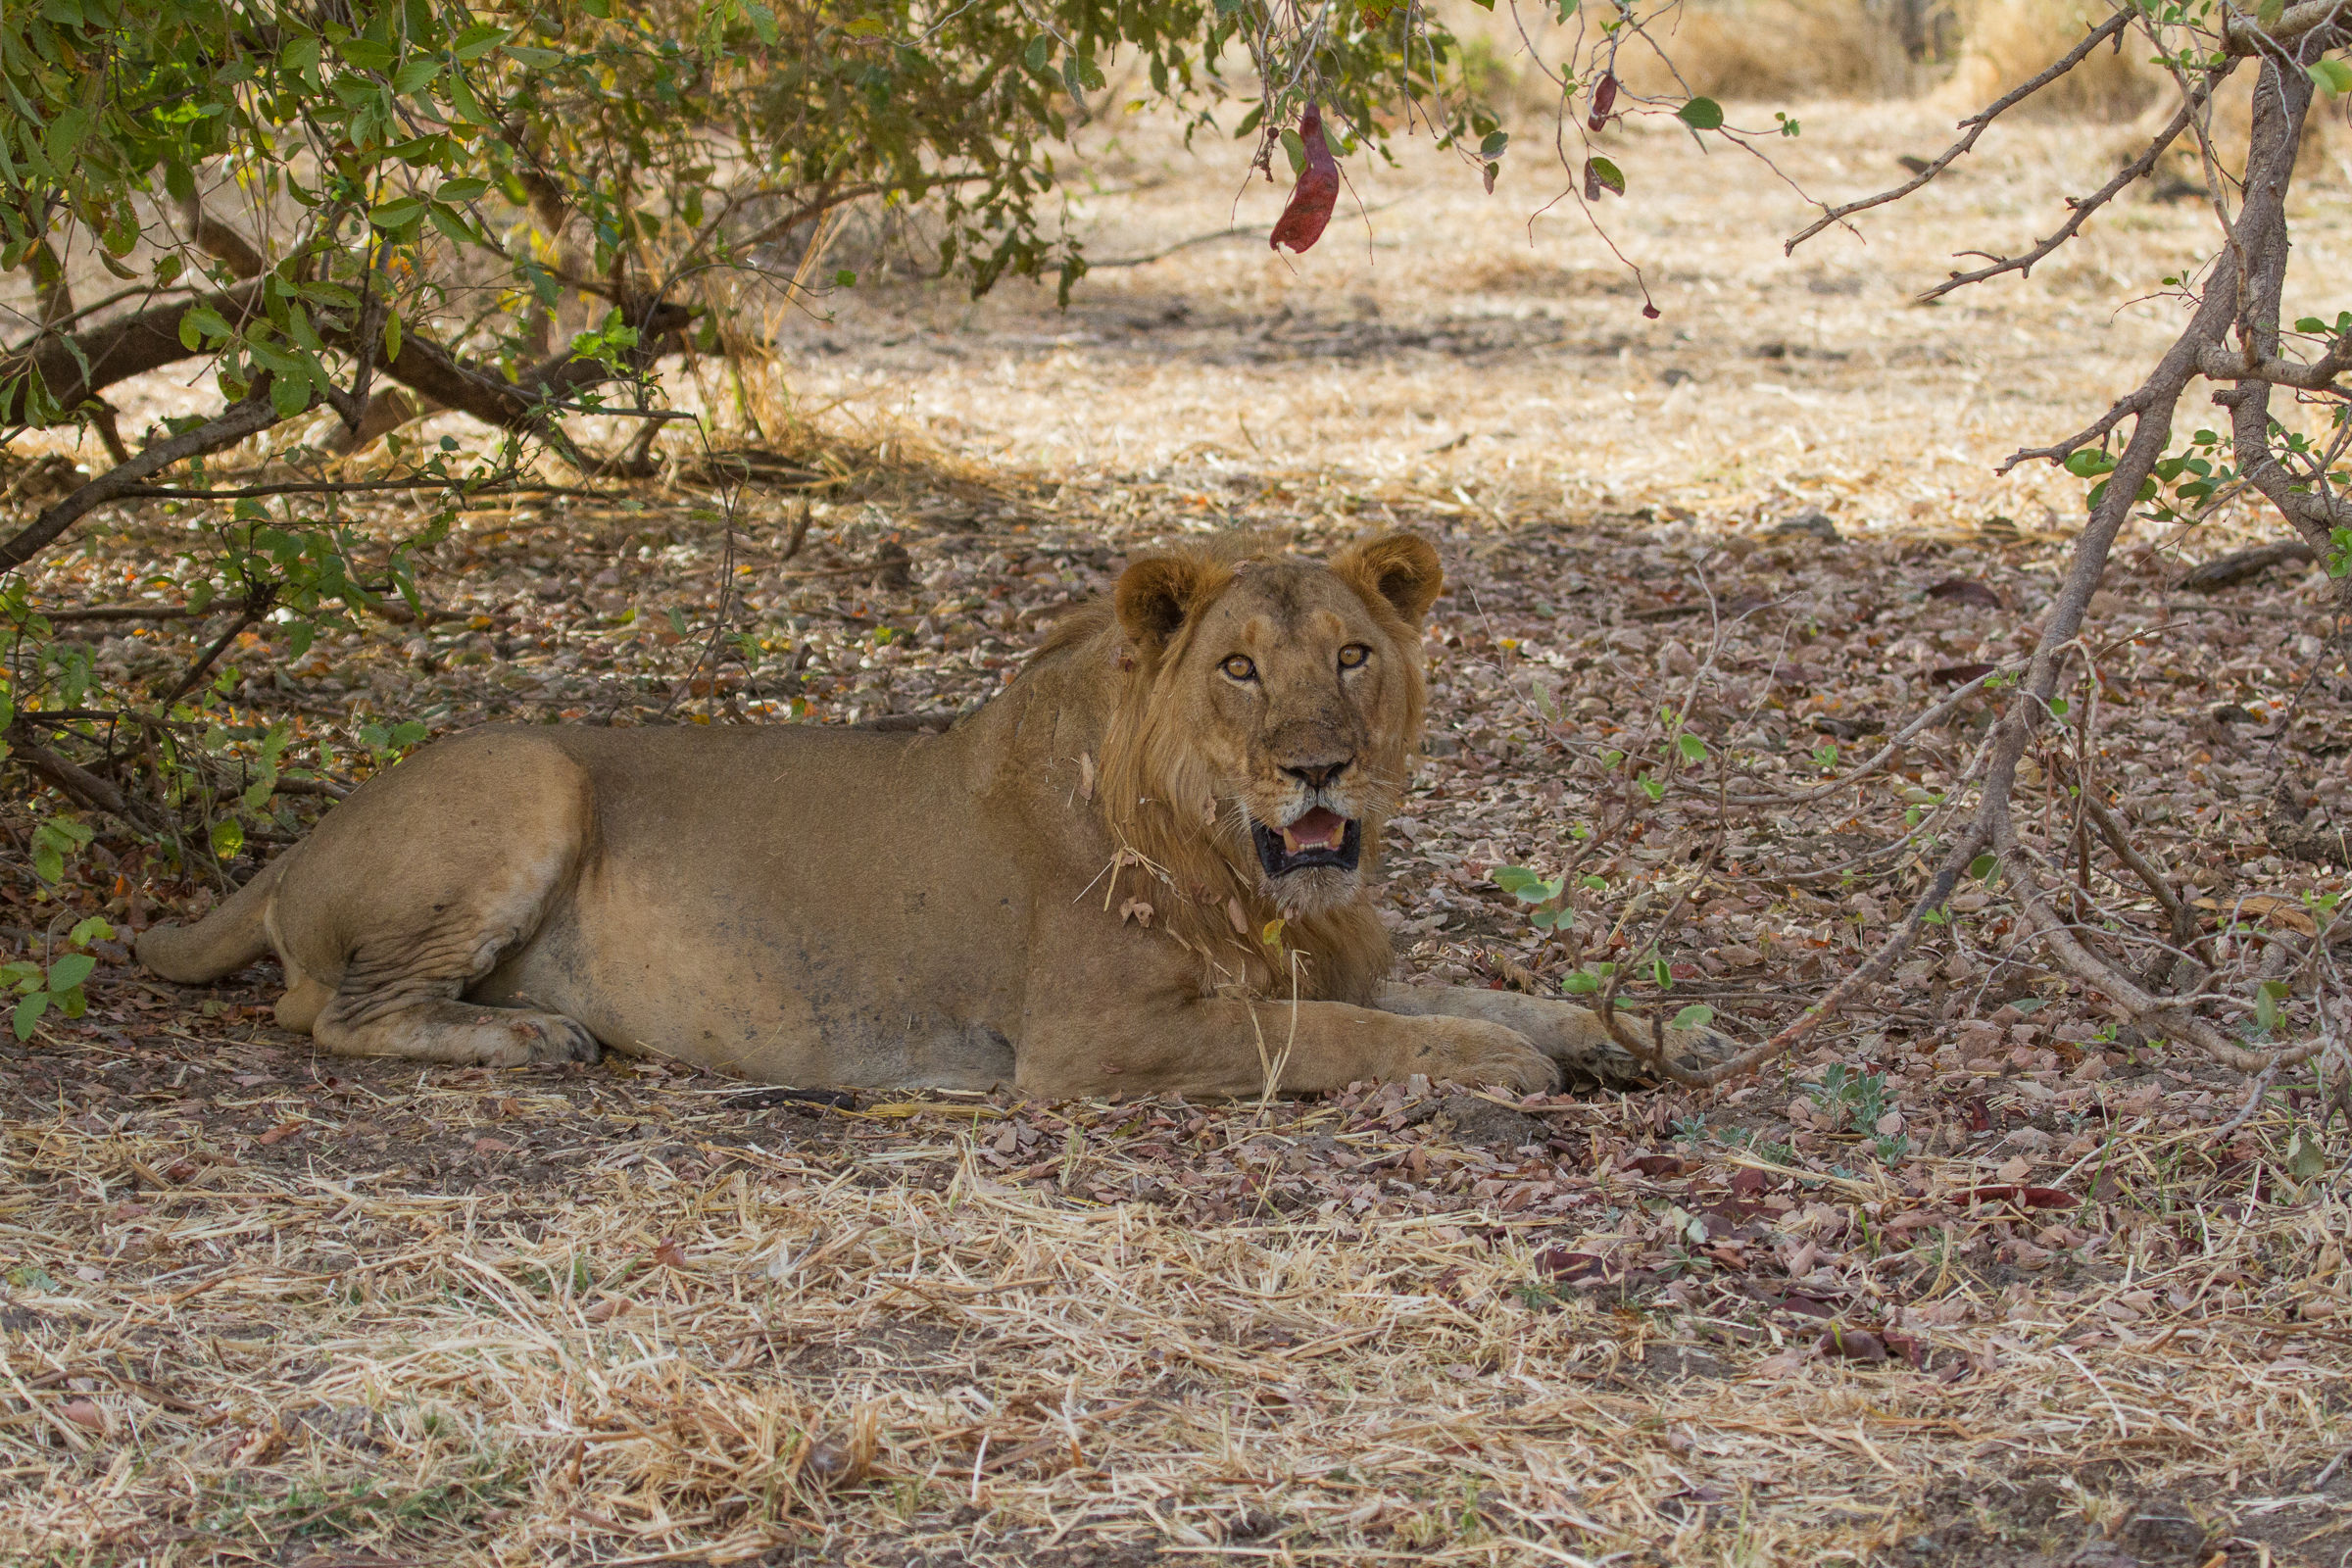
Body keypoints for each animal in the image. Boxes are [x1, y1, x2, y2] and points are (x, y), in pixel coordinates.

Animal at [139, 532, 1727, 1097]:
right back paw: (532, 1038)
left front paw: (1635, 1037)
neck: (1243, 868)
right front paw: (1501, 1067)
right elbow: (1349, 1036)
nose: (1320, 768)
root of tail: (300, 840)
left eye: (1350, 656)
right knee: (327, 1011)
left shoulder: (1339, 955)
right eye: (1237, 668)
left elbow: (1480, 991)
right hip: (531, 773)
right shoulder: (1098, 1040)